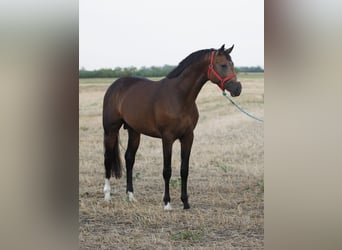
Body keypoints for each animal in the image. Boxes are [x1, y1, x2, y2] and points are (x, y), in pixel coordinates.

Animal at [103, 44, 242, 209]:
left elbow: (184, 170)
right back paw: (107, 195)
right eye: (223, 65)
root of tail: (115, 85)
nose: (237, 88)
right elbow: (167, 170)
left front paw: (186, 202)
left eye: (232, 64)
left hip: (134, 131)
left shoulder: (188, 137)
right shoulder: (167, 138)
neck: (179, 96)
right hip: (110, 130)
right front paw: (167, 203)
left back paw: (131, 196)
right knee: (107, 159)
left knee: (129, 158)